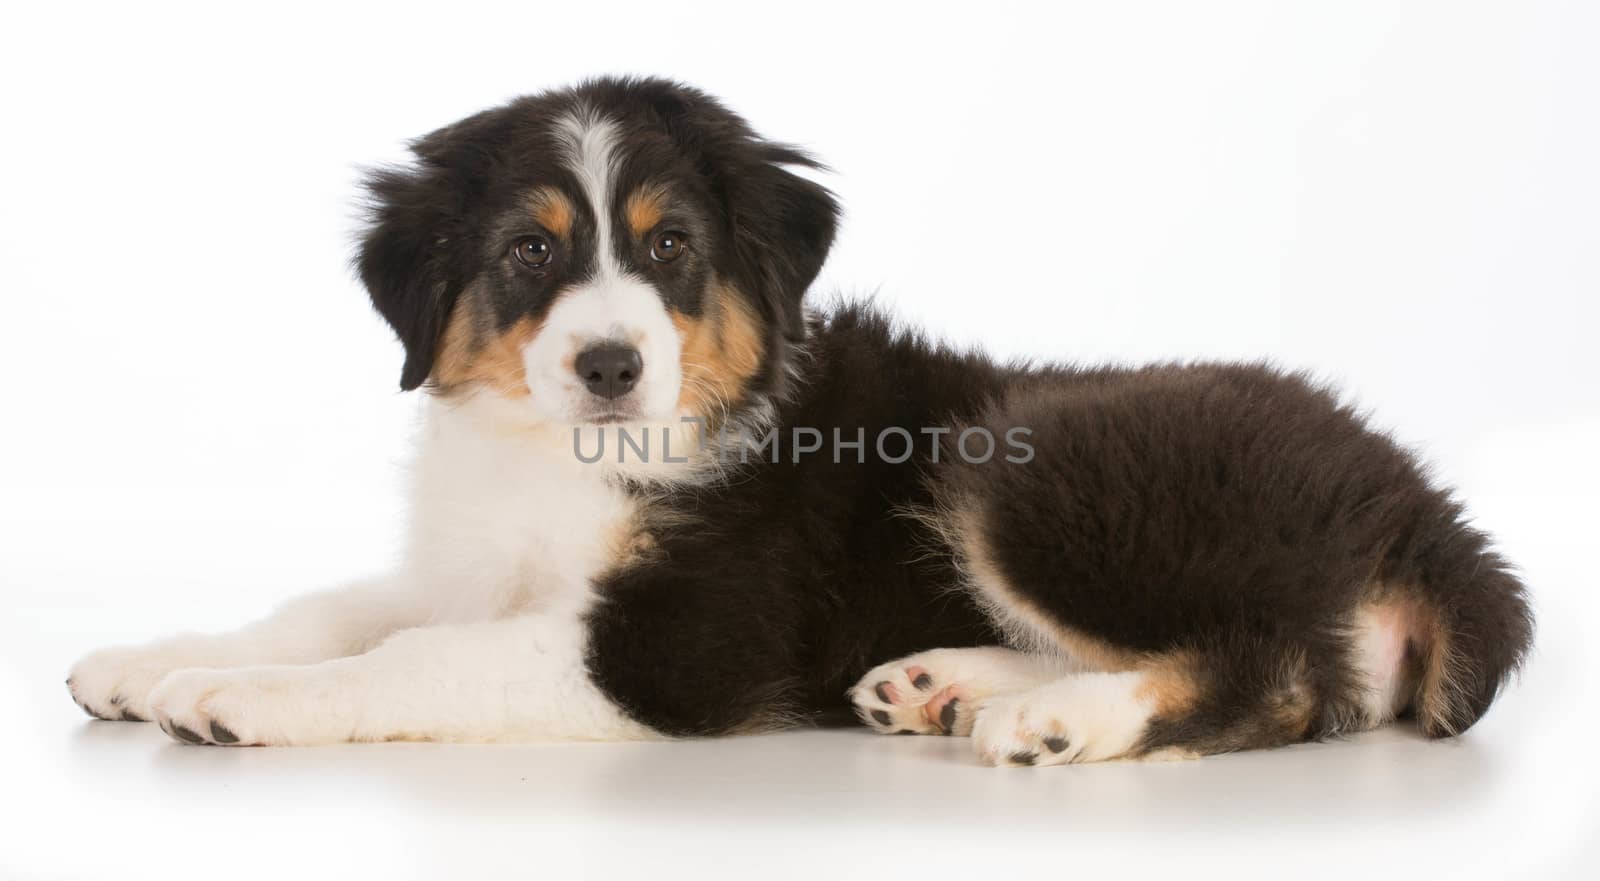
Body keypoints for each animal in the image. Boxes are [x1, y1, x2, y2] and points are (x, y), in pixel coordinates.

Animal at [65, 75, 1536, 764]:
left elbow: (412, 657)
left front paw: (237, 697)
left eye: (669, 247)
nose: (610, 364)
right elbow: (337, 607)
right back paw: (943, 682)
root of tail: (1418, 500)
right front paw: (155, 658)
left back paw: (1056, 721)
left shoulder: (680, 640)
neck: (571, 458)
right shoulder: (469, 564)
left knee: (1281, 673)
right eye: (531, 254)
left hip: (1026, 459)